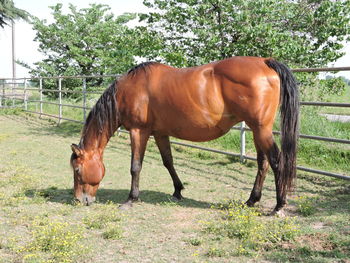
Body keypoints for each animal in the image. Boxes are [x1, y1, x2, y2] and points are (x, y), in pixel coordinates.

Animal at [70, 56, 298, 216]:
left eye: (78, 170)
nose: (79, 200)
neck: (128, 91)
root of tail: (265, 61)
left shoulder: (138, 131)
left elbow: (135, 167)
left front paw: (131, 199)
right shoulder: (160, 133)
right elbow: (168, 162)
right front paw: (178, 190)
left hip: (261, 129)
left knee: (276, 161)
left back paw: (279, 205)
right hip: (257, 130)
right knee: (262, 163)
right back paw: (252, 200)